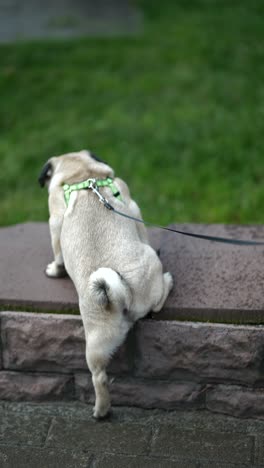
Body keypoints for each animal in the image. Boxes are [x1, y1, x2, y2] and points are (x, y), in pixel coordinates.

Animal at [38, 151, 173, 420]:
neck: (82, 174)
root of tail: (121, 295)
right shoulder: (133, 208)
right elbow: (58, 255)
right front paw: (56, 270)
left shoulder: (55, 223)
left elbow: (58, 252)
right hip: (151, 266)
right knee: (158, 301)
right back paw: (168, 280)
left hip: (96, 342)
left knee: (98, 376)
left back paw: (100, 411)